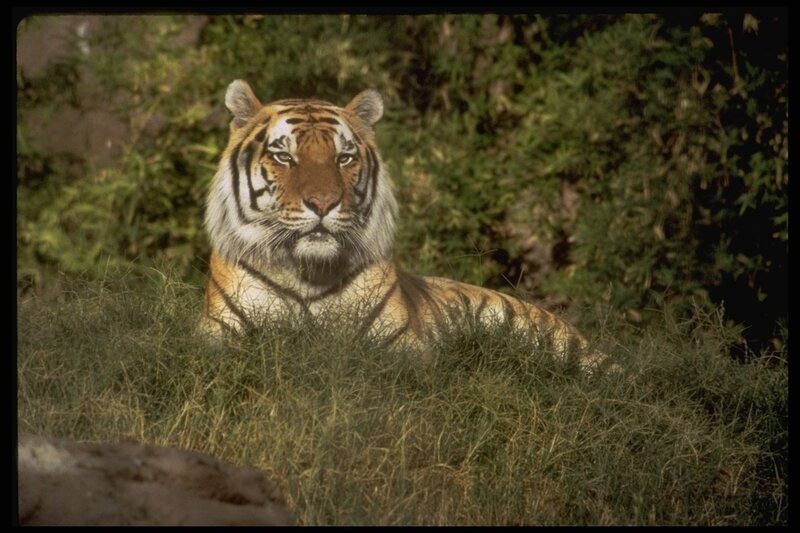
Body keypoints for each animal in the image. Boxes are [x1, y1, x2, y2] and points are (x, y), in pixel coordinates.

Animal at [202, 80, 617, 373]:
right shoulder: (222, 335)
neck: (308, 273)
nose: (323, 203)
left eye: (344, 158)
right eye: (284, 157)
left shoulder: (400, 348)